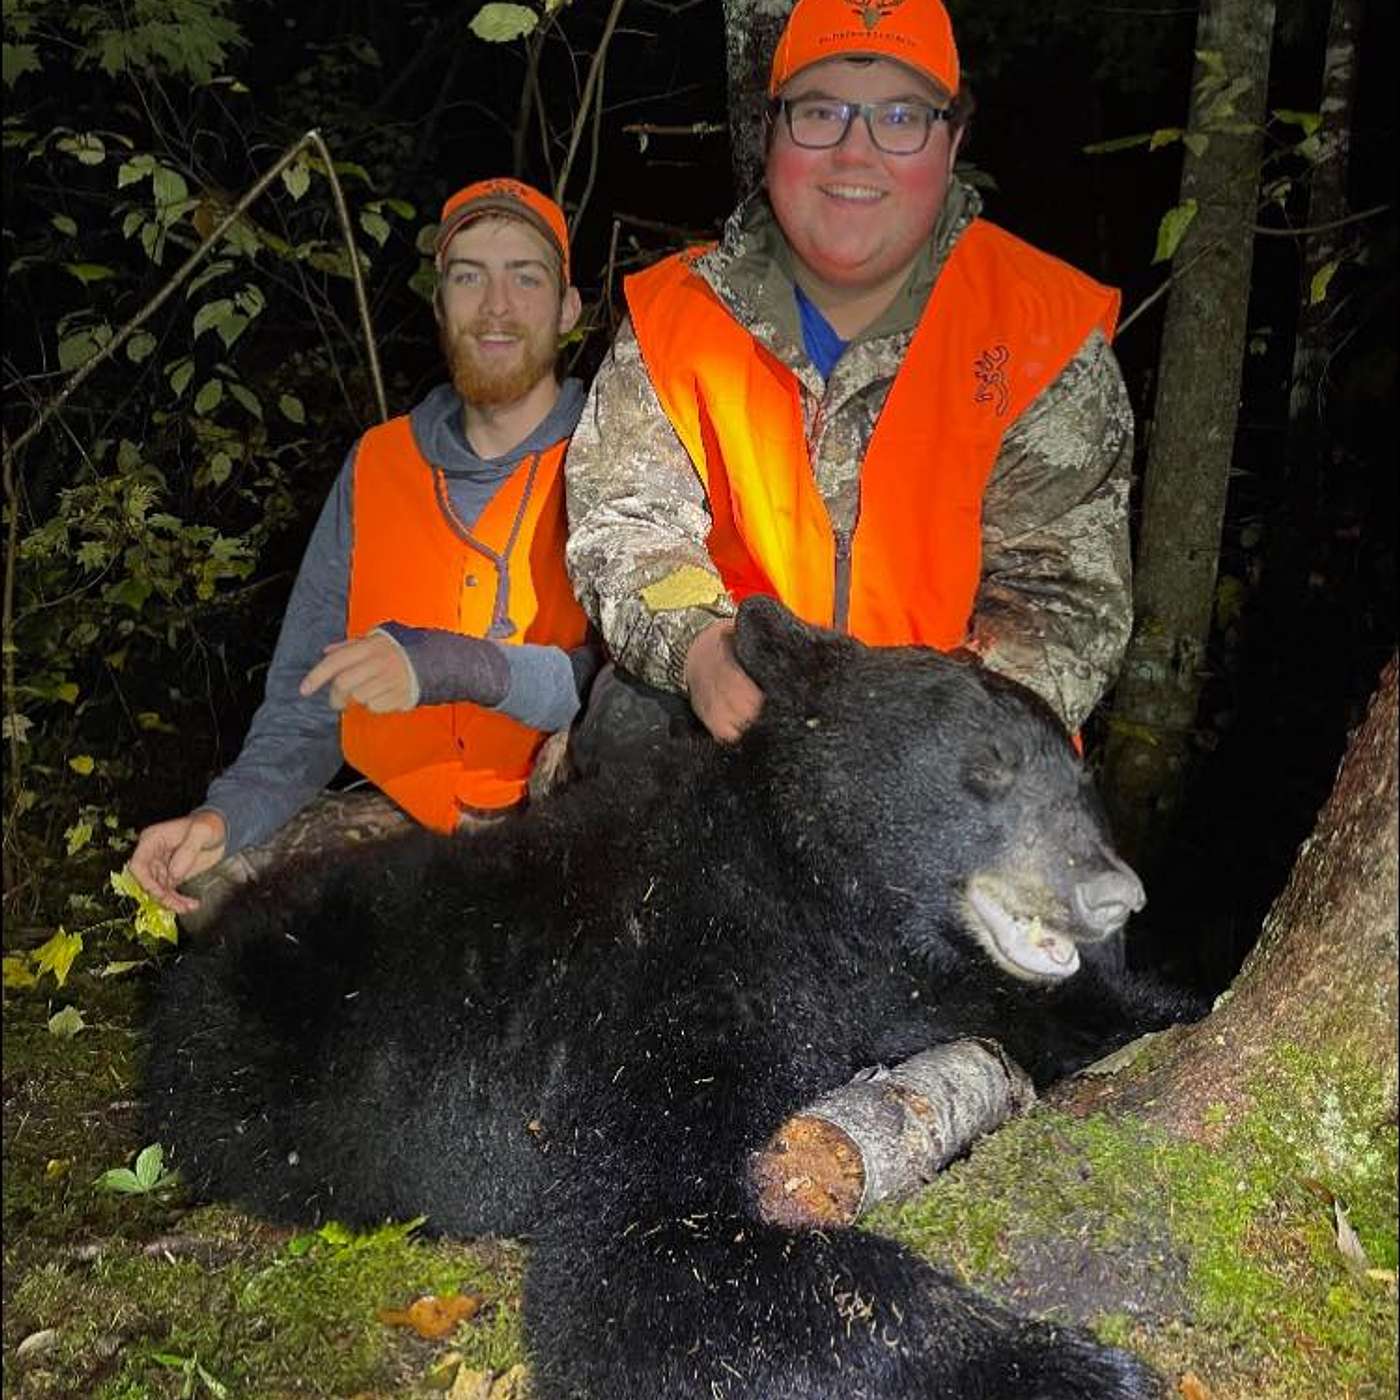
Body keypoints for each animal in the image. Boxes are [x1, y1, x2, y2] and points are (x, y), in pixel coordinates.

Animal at [144, 598, 1192, 1399]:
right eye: (987, 770)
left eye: (1079, 775)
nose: (1117, 892)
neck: (798, 892)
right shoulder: (664, 992)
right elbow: (644, 1250)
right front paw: (1070, 1367)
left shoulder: (894, 981)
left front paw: (1161, 1005)